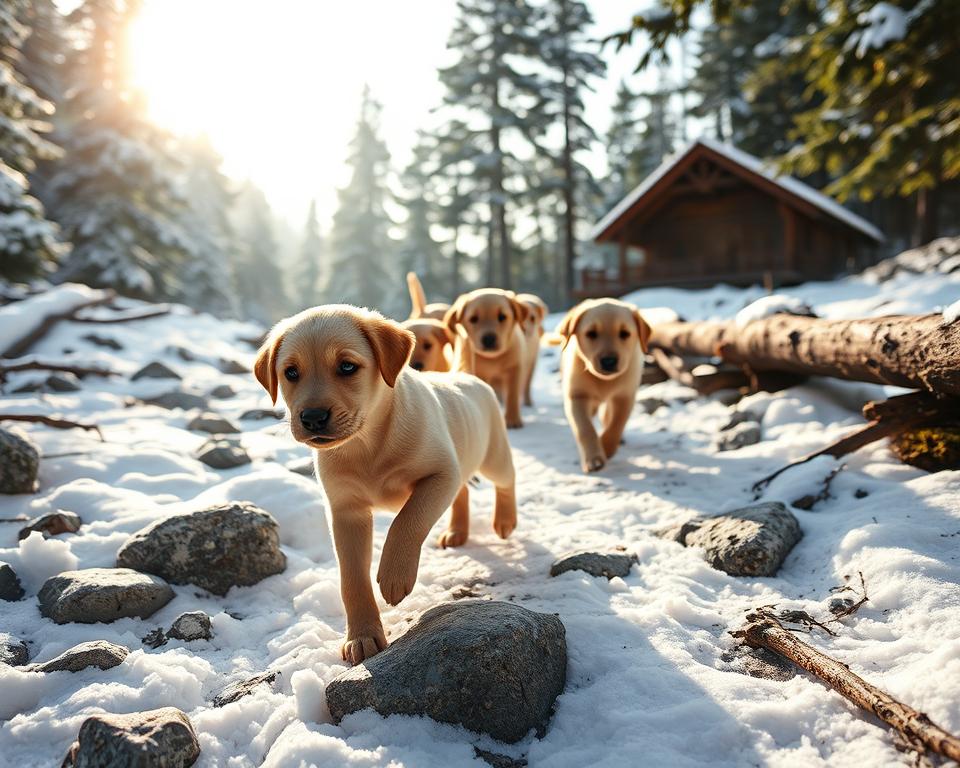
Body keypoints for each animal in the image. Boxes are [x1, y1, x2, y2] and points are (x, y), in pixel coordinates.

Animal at [251, 304, 512, 664]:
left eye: (347, 366)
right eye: (291, 373)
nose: (313, 418)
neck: (368, 442)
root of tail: (465, 376)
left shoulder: (440, 474)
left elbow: (408, 521)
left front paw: (393, 576)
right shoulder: (346, 511)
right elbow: (352, 579)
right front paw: (362, 637)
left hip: (493, 456)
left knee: (506, 480)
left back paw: (505, 520)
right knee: (461, 494)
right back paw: (457, 531)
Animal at [444, 290, 528, 428]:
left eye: (502, 316)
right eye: (473, 319)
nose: (489, 339)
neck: (492, 359)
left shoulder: (515, 368)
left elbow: (512, 394)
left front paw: (513, 419)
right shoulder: (478, 372)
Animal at [556, 296, 652, 472]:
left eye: (624, 333)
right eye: (591, 333)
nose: (609, 361)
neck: (603, 381)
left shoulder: (624, 396)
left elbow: (616, 424)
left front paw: (606, 448)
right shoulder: (577, 396)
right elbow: (585, 428)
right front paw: (594, 459)